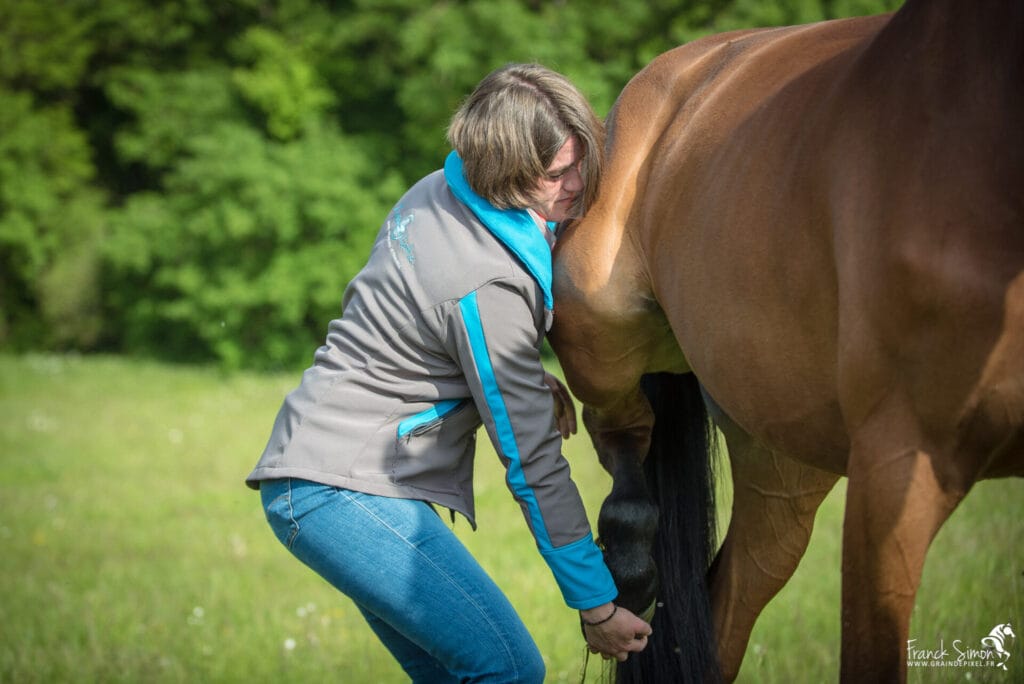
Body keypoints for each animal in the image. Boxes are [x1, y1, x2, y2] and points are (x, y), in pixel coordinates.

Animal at [548, 1, 1024, 681]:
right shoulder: (896, 465)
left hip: (781, 464)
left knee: (721, 612)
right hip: (603, 335)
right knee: (622, 433)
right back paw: (628, 569)